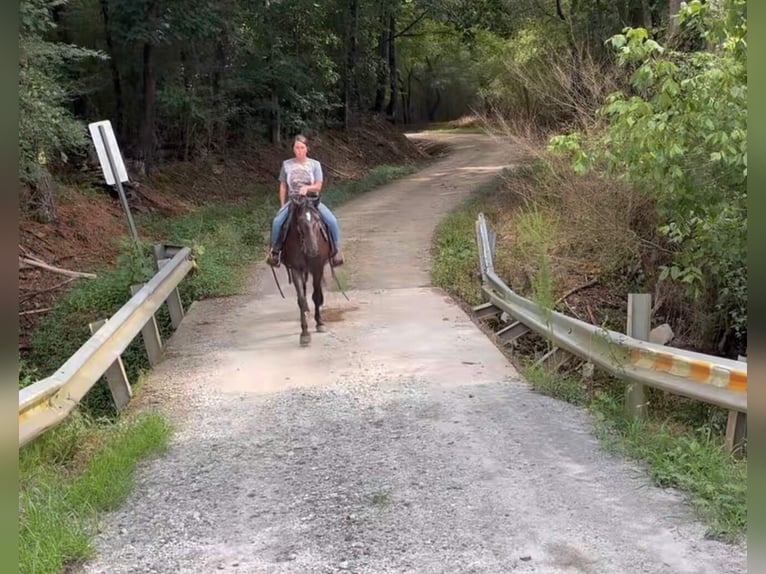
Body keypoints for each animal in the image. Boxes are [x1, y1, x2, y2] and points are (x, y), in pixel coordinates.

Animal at [280, 192, 332, 346]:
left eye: (317, 220)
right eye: (300, 222)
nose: (313, 249)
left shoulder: (317, 268)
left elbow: (316, 295)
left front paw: (320, 323)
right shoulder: (295, 269)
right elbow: (302, 299)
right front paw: (304, 333)